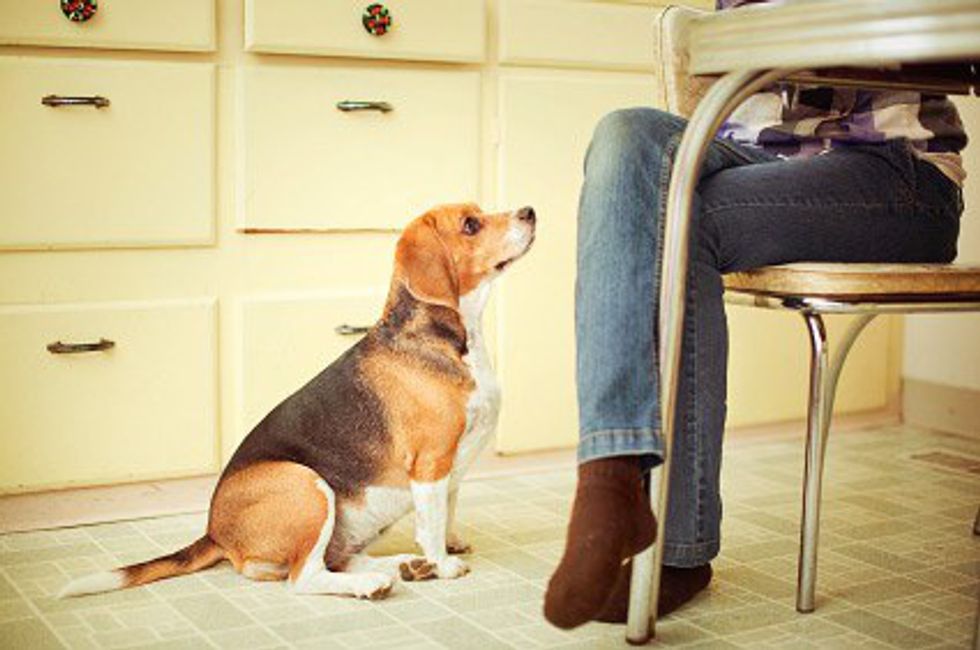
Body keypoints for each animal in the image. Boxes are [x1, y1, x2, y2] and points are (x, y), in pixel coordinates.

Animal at [60, 203, 536, 600]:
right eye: (470, 225)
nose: (529, 211)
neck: (455, 339)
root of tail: (215, 532)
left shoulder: (452, 469)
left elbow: (447, 512)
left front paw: (448, 549)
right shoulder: (431, 462)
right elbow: (432, 522)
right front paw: (444, 562)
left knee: (331, 561)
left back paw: (406, 565)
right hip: (307, 486)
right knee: (303, 577)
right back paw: (376, 582)